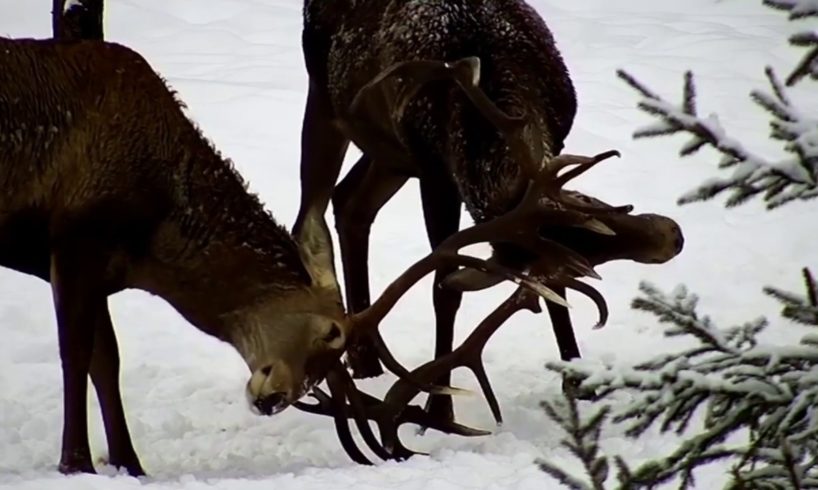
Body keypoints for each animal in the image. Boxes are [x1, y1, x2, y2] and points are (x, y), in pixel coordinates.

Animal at [0, 36, 564, 476]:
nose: (273, 398)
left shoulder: (97, 263)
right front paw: (74, 463)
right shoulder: (74, 237)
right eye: (331, 334)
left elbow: (106, 360)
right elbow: (76, 355)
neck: (152, 231)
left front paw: (128, 464)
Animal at [294, 0, 684, 428]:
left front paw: (579, 384)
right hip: (326, 101)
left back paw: (365, 360)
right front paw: (438, 406)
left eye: (588, 201)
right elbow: (444, 289)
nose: (673, 235)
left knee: (350, 202)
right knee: (310, 217)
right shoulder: (436, 173)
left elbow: (554, 296)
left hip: (390, 151)